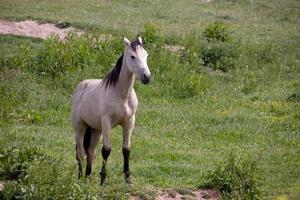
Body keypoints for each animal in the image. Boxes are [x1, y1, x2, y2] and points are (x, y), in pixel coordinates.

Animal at [70, 34, 150, 184]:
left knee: (91, 152)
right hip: (80, 128)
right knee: (80, 154)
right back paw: (80, 178)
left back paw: (87, 178)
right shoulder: (107, 122)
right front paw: (102, 180)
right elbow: (106, 150)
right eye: (132, 56)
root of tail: (81, 87)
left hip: (96, 130)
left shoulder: (129, 122)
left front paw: (128, 179)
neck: (121, 95)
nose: (146, 77)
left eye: (146, 55)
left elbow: (126, 150)